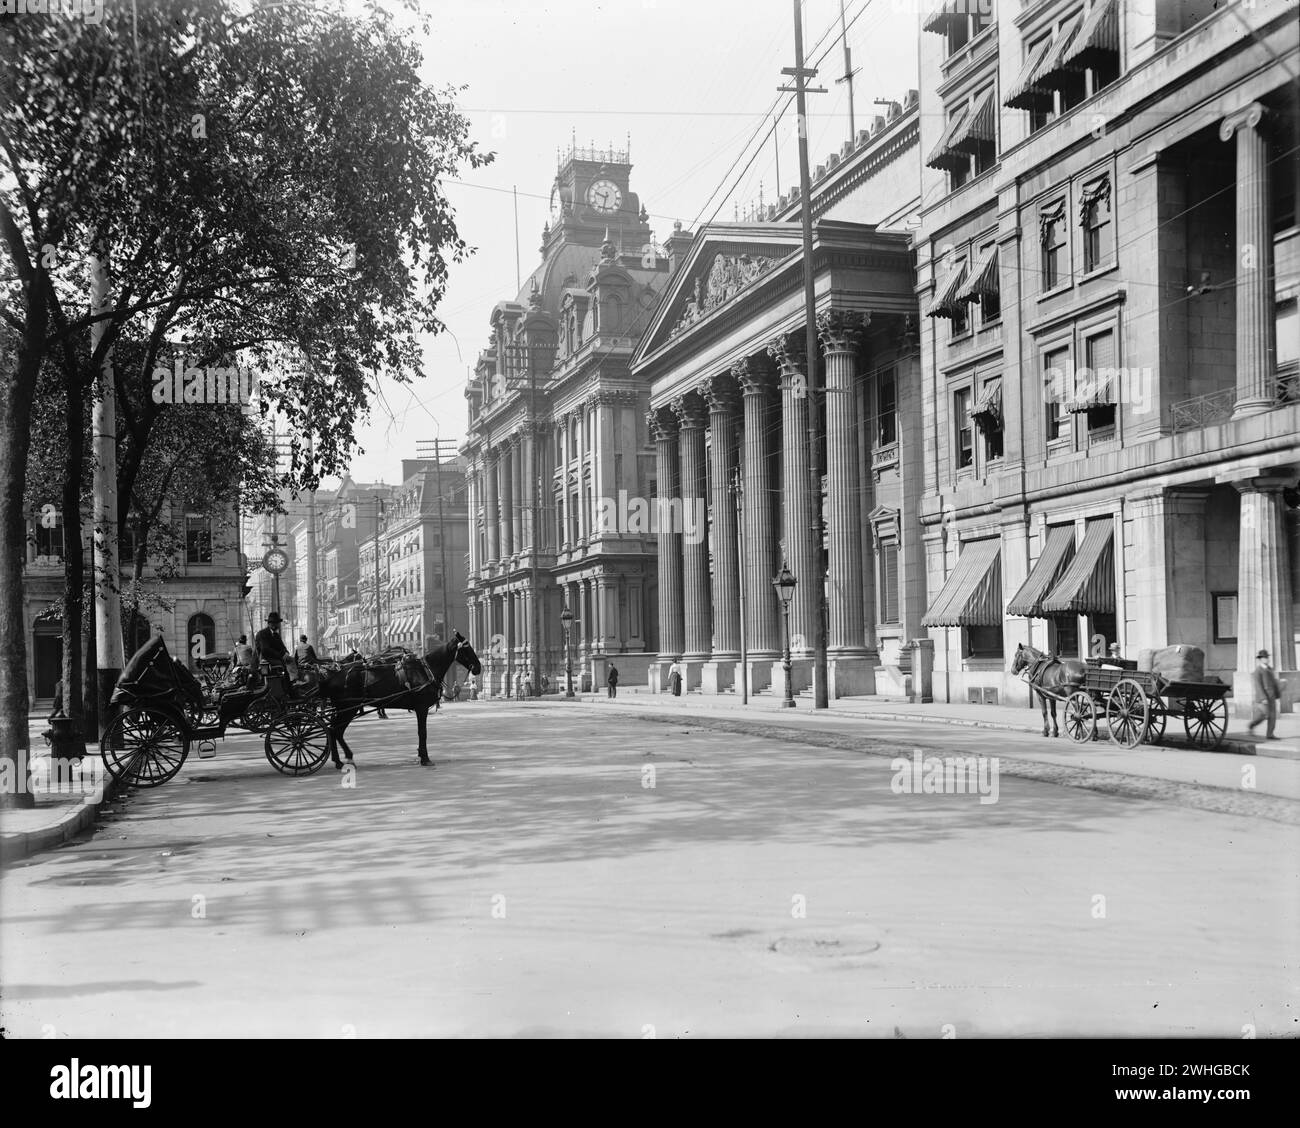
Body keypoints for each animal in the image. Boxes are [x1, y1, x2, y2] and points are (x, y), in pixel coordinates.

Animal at [315, 634, 483, 764]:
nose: (478, 667)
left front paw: (421, 754)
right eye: (467, 648)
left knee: (334, 730)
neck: (426, 670)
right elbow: (422, 732)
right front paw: (425, 758)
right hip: (348, 708)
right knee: (336, 730)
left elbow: (421, 732)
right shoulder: (421, 708)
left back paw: (339, 759)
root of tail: (333, 675)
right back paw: (342, 758)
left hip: (344, 709)